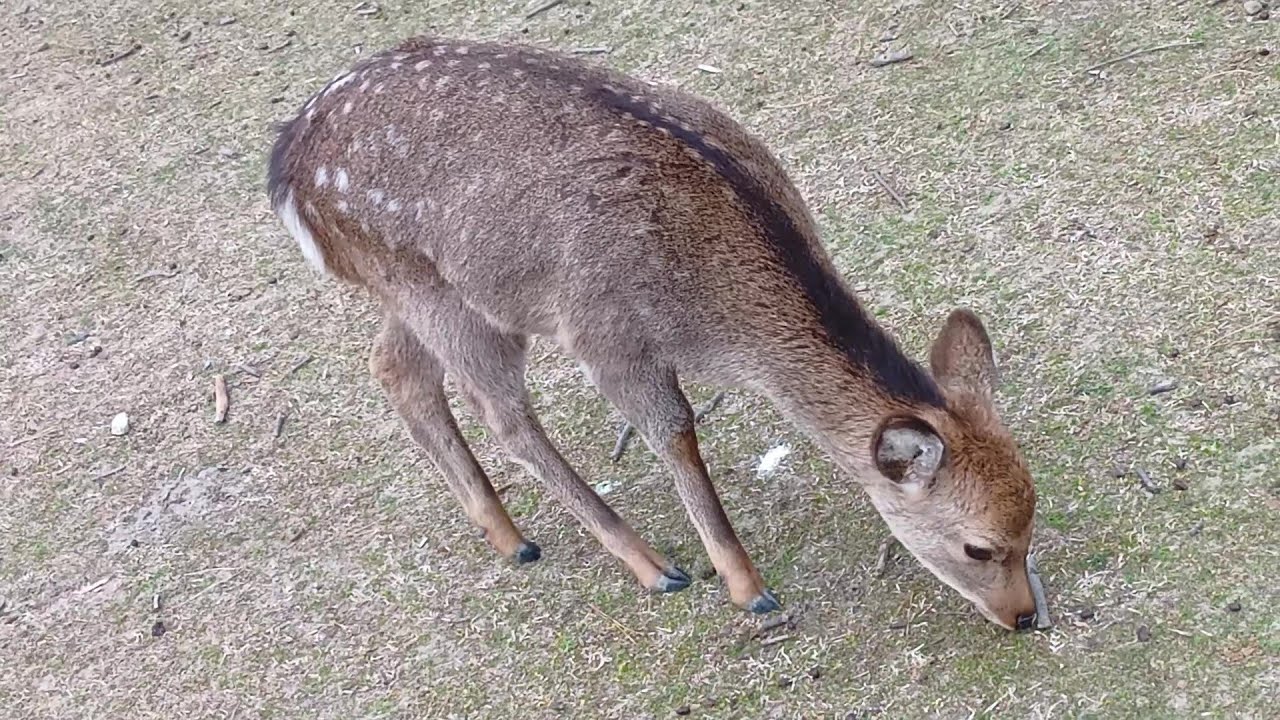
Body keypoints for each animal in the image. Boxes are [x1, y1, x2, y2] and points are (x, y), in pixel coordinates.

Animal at [267, 35, 1043, 631]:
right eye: (980, 548)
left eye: (1031, 520)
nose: (1026, 616)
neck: (715, 313)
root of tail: (286, 168)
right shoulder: (608, 336)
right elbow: (674, 432)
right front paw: (748, 588)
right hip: (443, 293)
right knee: (503, 414)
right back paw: (650, 565)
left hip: (417, 290)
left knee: (394, 367)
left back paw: (507, 536)